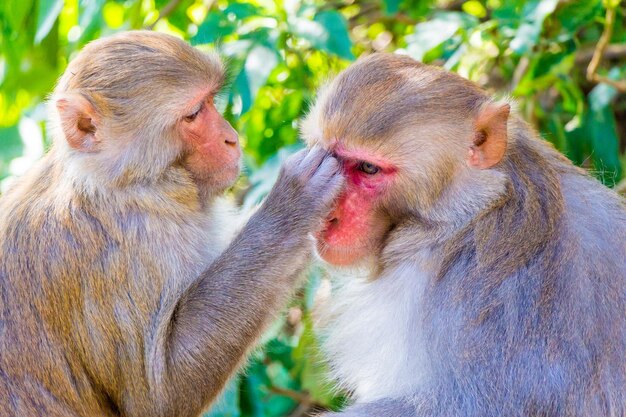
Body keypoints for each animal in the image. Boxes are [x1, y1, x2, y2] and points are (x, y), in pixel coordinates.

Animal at [0, 30, 342, 414]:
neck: (121, 181)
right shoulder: (124, 249)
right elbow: (160, 394)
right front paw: (295, 204)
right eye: (193, 114)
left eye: (211, 101)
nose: (232, 138)